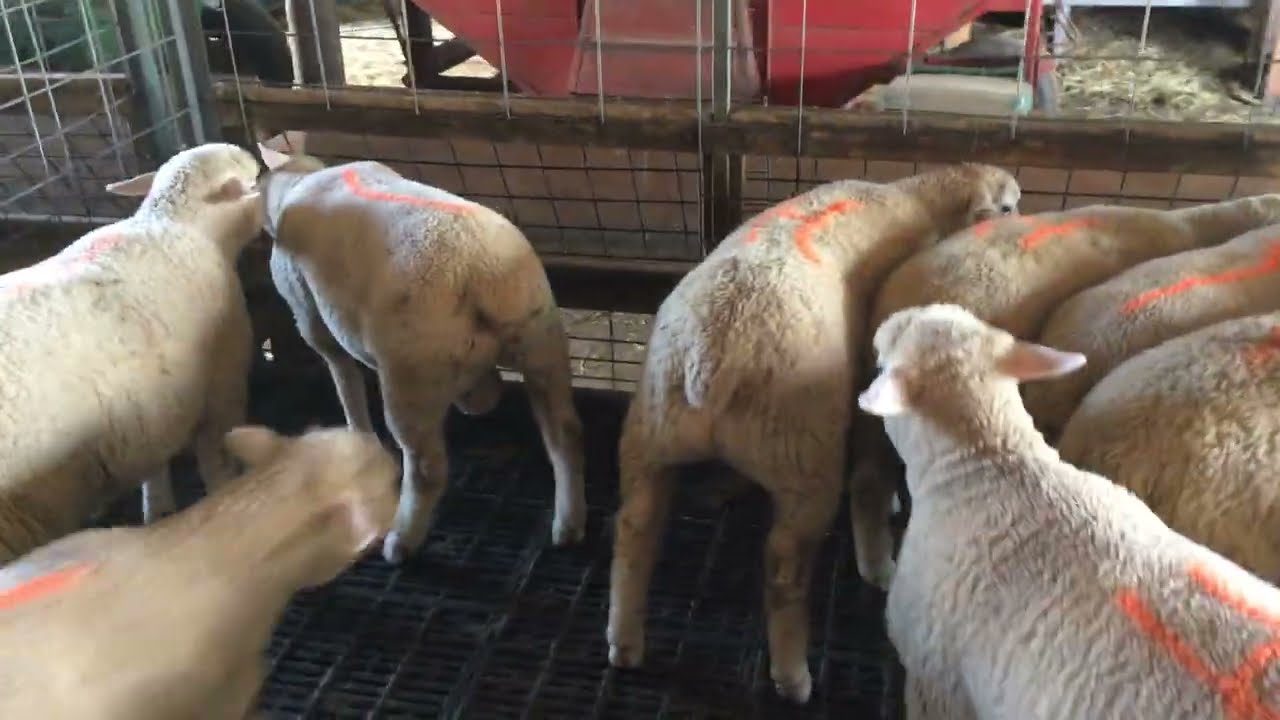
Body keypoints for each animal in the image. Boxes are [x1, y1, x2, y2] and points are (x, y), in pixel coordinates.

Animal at [0, 142, 263, 563]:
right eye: (254, 180)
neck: (178, 223)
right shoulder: (222, 393)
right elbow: (218, 468)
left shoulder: (147, 410)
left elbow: (153, 468)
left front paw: (158, 511)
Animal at [255, 138, 586, 565]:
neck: (300, 180)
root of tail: (482, 272)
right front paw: (478, 393)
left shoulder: (309, 315)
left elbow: (344, 379)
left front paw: (359, 436)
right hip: (541, 337)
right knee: (566, 433)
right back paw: (568, 526)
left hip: (412, 370)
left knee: (427, 468)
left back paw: (400, 542)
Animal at [606, 163, 1022, 704]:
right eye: (1008, 206)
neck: (918, 198)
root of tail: (711, 357)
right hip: (803, 455)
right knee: (784, 566)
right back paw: (793, 675)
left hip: (650, 434)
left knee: (635, 527)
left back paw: (624, 642)